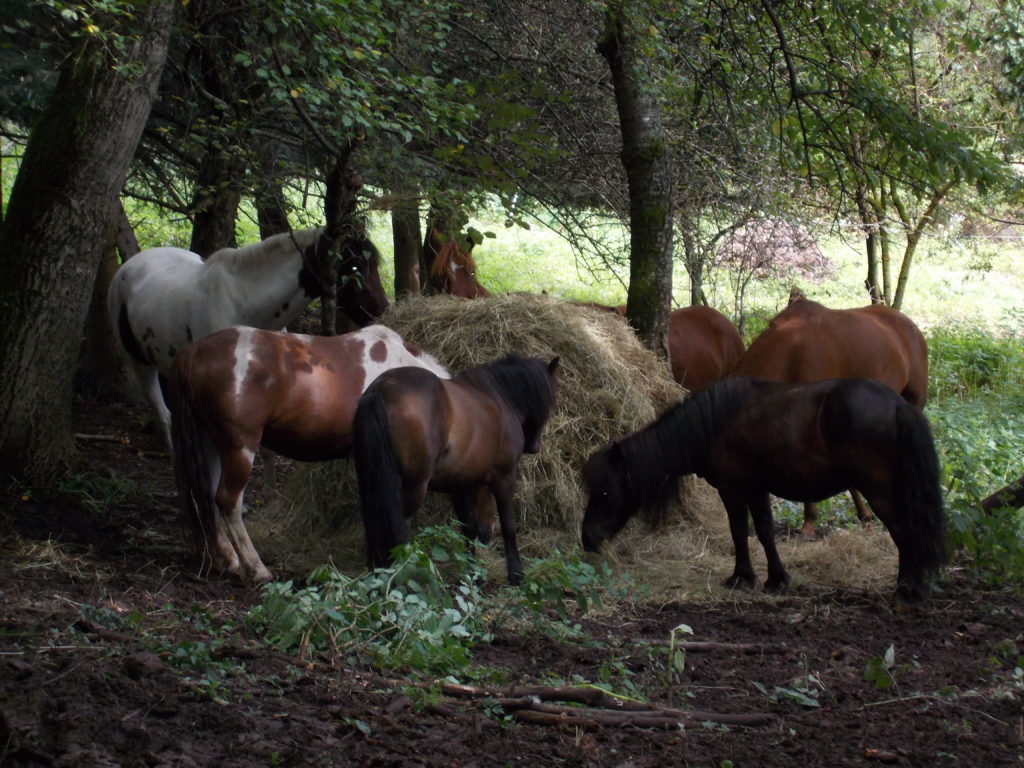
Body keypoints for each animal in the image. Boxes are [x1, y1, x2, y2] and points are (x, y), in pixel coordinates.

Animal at [107, 228, 387, 454]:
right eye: (354, 266)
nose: (382, 307)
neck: (245, 303)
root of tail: (126, 267)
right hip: (139, 362)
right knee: (162, 412)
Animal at [168, 323, 452, 581]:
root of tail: (193, 352)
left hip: (212, 444)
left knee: (206, 497)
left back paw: (227, 559)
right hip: (239, 447)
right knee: (227, 501)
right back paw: (256, 569)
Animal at [352, 358, 561, 585]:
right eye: (550, 400)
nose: (534, 446)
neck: (499, 399)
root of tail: (383, 389)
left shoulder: (461, 485)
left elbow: (469, 528)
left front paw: (472, 575)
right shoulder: (505, 477)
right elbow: (508, 526)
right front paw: (516, 574)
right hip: (412, 488)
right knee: (400, 531)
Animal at [581, 376, 946, 606]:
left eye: (604, 492)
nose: (587, 538)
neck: (712, 424)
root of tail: (897, 404)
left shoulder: (733, 489)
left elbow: (739, 531)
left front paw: (742, 577)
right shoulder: (757, 489)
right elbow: (766, 532)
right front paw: (776, 579)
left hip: (879, 490)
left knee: (903, 532)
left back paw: (907, 589)